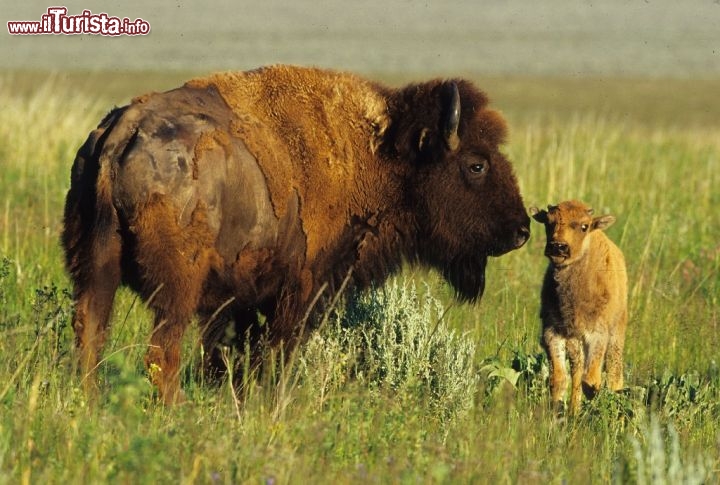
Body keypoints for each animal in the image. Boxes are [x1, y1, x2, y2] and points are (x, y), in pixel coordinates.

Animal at [62, 66, 532, 402]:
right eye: (476, 164)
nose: (522, 230)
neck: (378, 153)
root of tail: (120, 134)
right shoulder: (300, 292)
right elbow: (276, 357)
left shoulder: (236, 300)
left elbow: (228, 357)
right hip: (176, 289)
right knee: (162, 351)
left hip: (94, 269)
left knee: (90, 334)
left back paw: (90, 401)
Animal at [528, 199, 624, 412]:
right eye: (549, 222)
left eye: (584, 226)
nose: (558, 247)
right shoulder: (553, 332)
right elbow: (559, 378)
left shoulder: (597, 335)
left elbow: (591, 382)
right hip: (575, 341)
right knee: (577, 369)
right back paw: (574, 410)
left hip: (616, 334)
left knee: (614, 374)